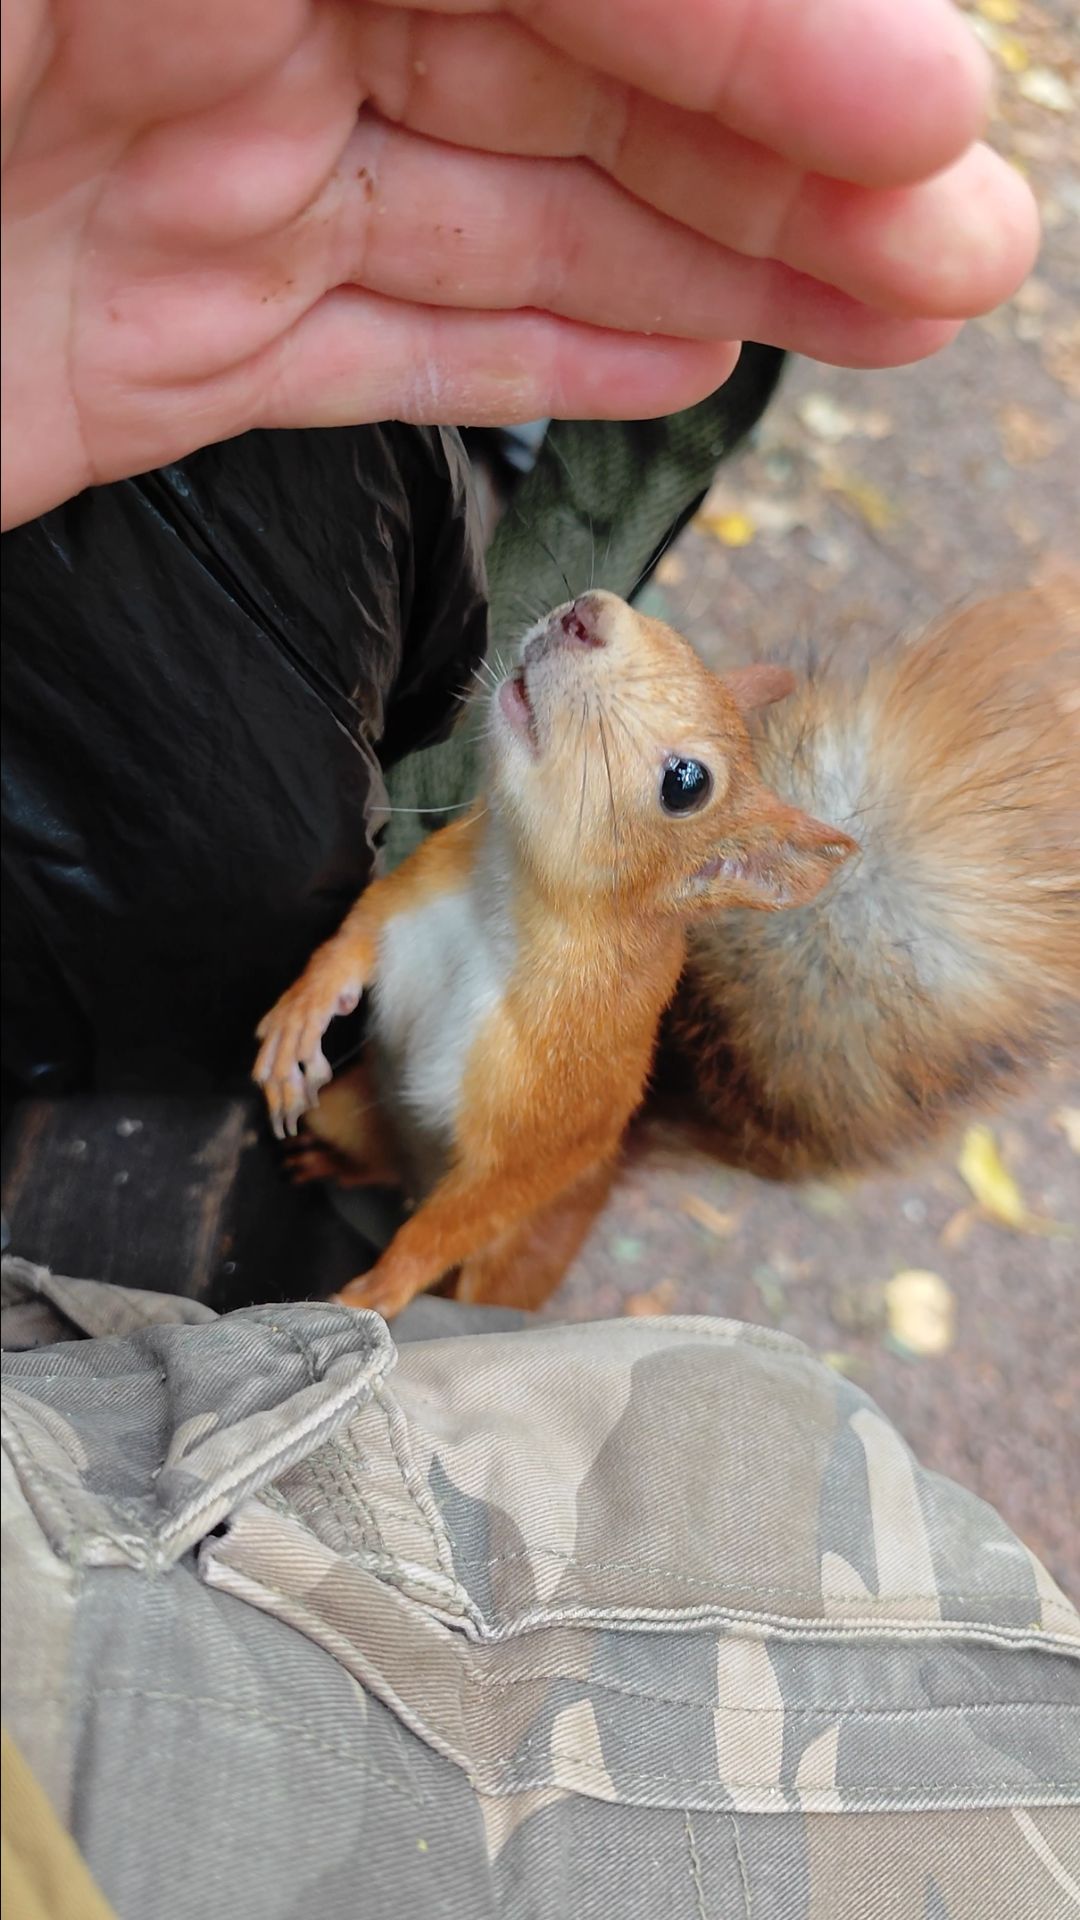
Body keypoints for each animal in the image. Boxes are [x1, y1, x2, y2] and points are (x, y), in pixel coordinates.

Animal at [256, 578, 1079, 1317]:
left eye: (685, 782)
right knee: (373, 1163)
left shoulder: (557, 1109)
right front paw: (298, 1020)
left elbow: (469, 1210)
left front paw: (376, 1292)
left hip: (513, 1262)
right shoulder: (417, 893)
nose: (586, 616)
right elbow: (352, 937)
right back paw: (325, 1159)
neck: (505, 904)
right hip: (349, 1108)